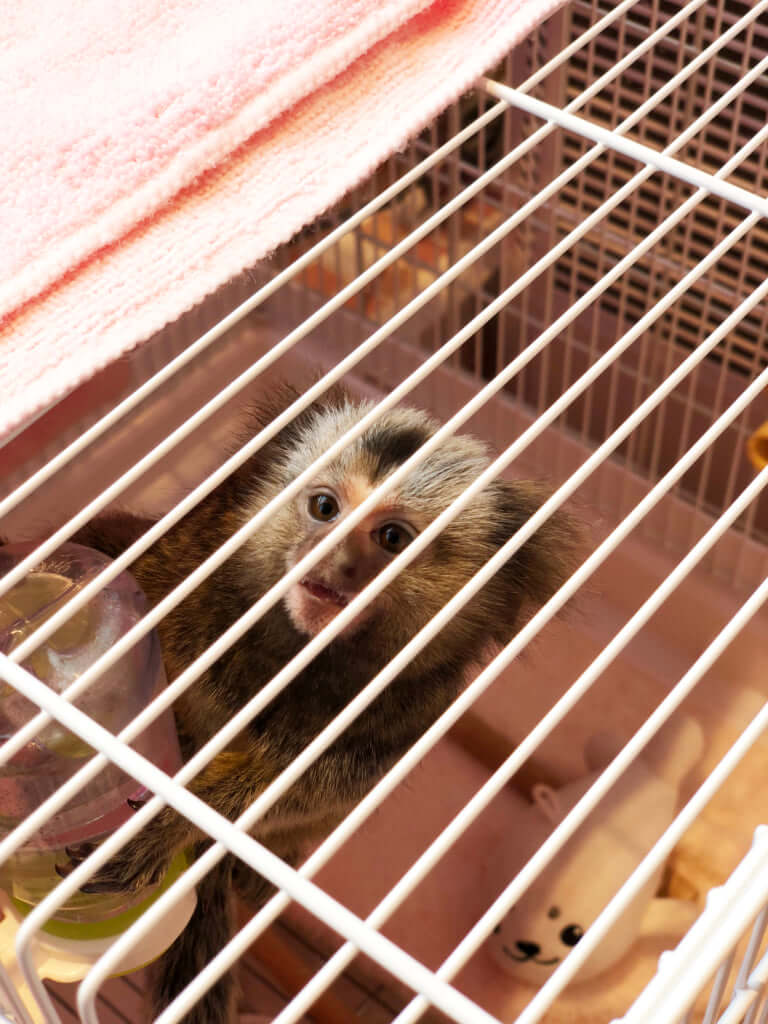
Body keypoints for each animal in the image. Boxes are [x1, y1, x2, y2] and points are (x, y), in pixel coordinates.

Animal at [57, 385, 581, 1024]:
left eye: (392, 538)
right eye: (326, 507)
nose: (330, 556)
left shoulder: (403, 720)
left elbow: (297, 789)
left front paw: (169, 822)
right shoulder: (178, 576)